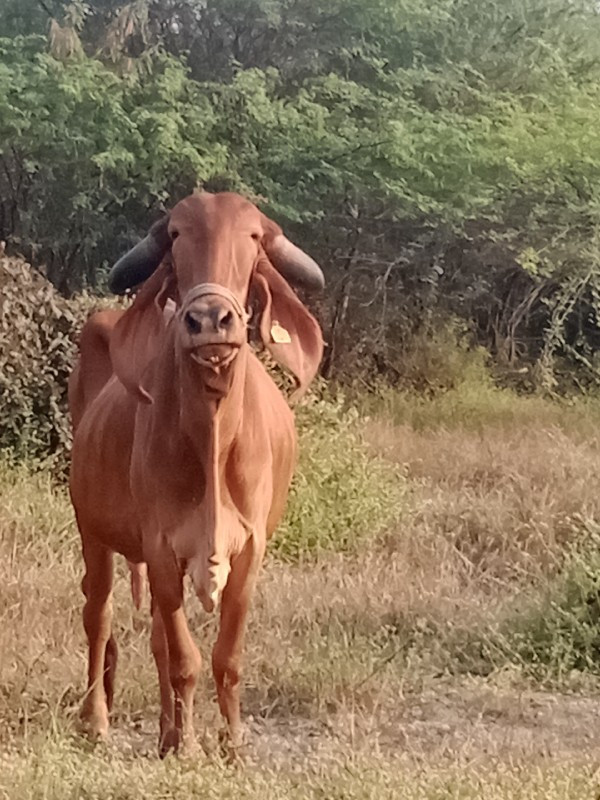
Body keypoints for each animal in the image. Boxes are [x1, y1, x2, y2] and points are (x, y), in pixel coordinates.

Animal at [68, 191, 326, 752]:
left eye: (253, 237)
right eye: (177, 235)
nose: (210, 319)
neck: (211, 436)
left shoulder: (250, 551)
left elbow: (224, 658)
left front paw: (230, 746)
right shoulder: (162, 546)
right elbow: (183, 658)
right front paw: (185, 746)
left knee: (153, 638)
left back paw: (166, 728)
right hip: (91, 529)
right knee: (98, 615)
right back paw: (97, 718)